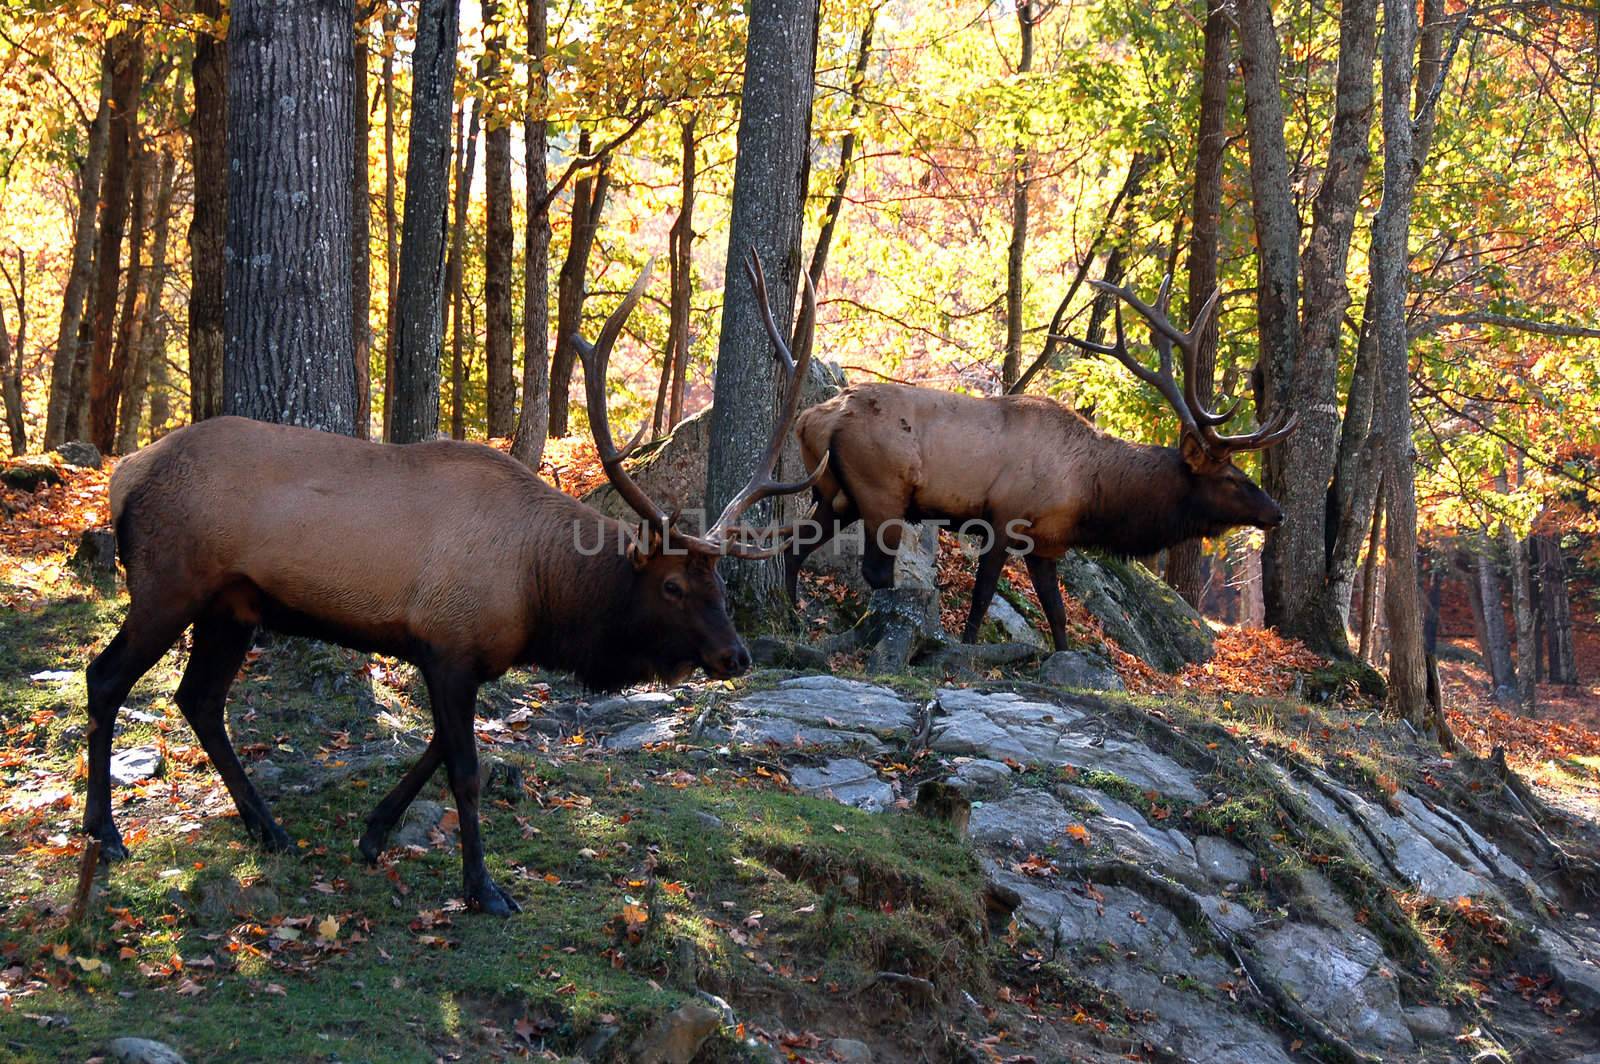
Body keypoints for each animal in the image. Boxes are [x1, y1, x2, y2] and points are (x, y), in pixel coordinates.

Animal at [81, 246, 819, 915]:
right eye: (671, 587)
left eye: (717, 582)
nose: (736, 655)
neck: (540, 599)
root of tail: (125, 478)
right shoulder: (450, 646)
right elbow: (465, 771)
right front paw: (482, 888)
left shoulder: (461, 655)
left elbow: (436, 747)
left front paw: (374, 833)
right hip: (167, 585)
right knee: (107, 676)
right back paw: (106, 833)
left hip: (231, 607)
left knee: (199, 700)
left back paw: (269, 829)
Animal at [787, 278, 1299, 646]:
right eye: (1233, 477)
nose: (1277, 513)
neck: (1092, 495)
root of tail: (815, 417)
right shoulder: (1003, 517)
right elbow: (982, 596)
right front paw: (968, 646)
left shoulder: (1047, 543)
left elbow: (1057, 614)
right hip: (882, 491)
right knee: (875, 569)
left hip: (838, 495)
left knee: (796, 545)